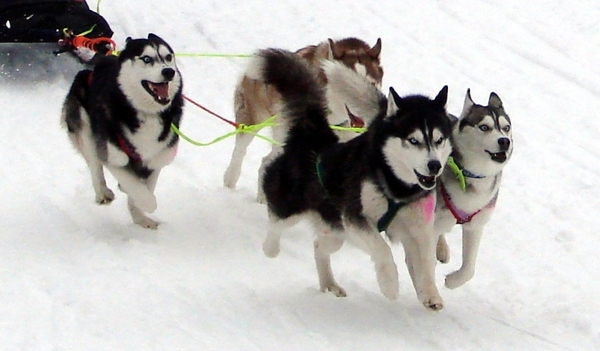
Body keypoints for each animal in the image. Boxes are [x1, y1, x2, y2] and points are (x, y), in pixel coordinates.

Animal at [61, 34, 184, 230]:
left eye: (168, 57)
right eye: (146, 58)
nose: (168, 72)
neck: (147, 114)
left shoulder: (157, 161)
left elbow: (141, 190)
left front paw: (140, 218)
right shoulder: (113, 158)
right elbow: (142, 193)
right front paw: (145, 203)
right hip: (86, 128)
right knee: (94, 164)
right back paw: (102, 192)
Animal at [223, 37, 382, 204]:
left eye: (371, 83)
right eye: (346, 83)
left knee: (266, 161)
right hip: (254, 120)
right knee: (242, 149)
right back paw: (231, 179)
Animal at [251, 48, 452, 310]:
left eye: (439, 140)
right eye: (414, 140)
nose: (434, 166)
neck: (397, 186)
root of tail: (313, 135)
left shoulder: (419, 228)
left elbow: (427, 264)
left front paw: (430, 294)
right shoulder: (356, 218)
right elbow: (383, 250)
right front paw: (390, 285)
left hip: (337, 231)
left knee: (319, 247)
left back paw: (329, 283)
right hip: (295, 209)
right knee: (275, 223)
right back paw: (270, 248)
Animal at [434, 89, 512, 290]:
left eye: (506, 127)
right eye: (484, 127)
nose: (504, 141)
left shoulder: (475, 225)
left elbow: (469, 270)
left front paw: (452, 281)